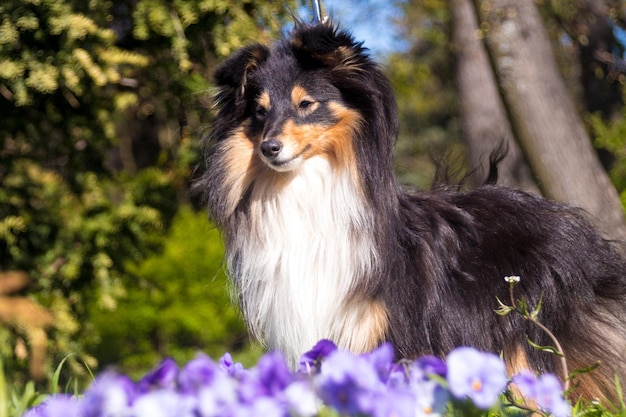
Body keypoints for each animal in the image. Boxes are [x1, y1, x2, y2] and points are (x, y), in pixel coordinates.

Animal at [197, 21, 624, 402]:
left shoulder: (385, 332)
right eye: (259, 112)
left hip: (531, 337)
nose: (269, 148)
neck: (305, 188)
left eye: (306, 104)